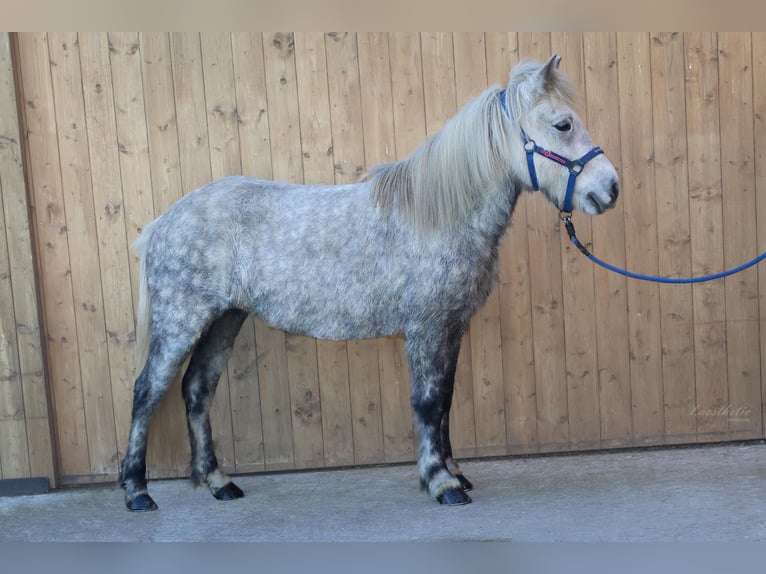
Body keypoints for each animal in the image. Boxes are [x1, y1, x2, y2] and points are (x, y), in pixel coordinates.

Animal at [119, 54, 619, 511]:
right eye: (562, 124)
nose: (610, 188)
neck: (437, 216)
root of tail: (162, 222)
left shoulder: (451, 328)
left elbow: (446, 401)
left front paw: (454, 471)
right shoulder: (426, 329)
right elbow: (428, 402)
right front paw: (442, 483)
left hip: (224, 319)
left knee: (196, 390)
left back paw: (219, 482)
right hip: (181, 321)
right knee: (147, 392)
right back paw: (137, 491)